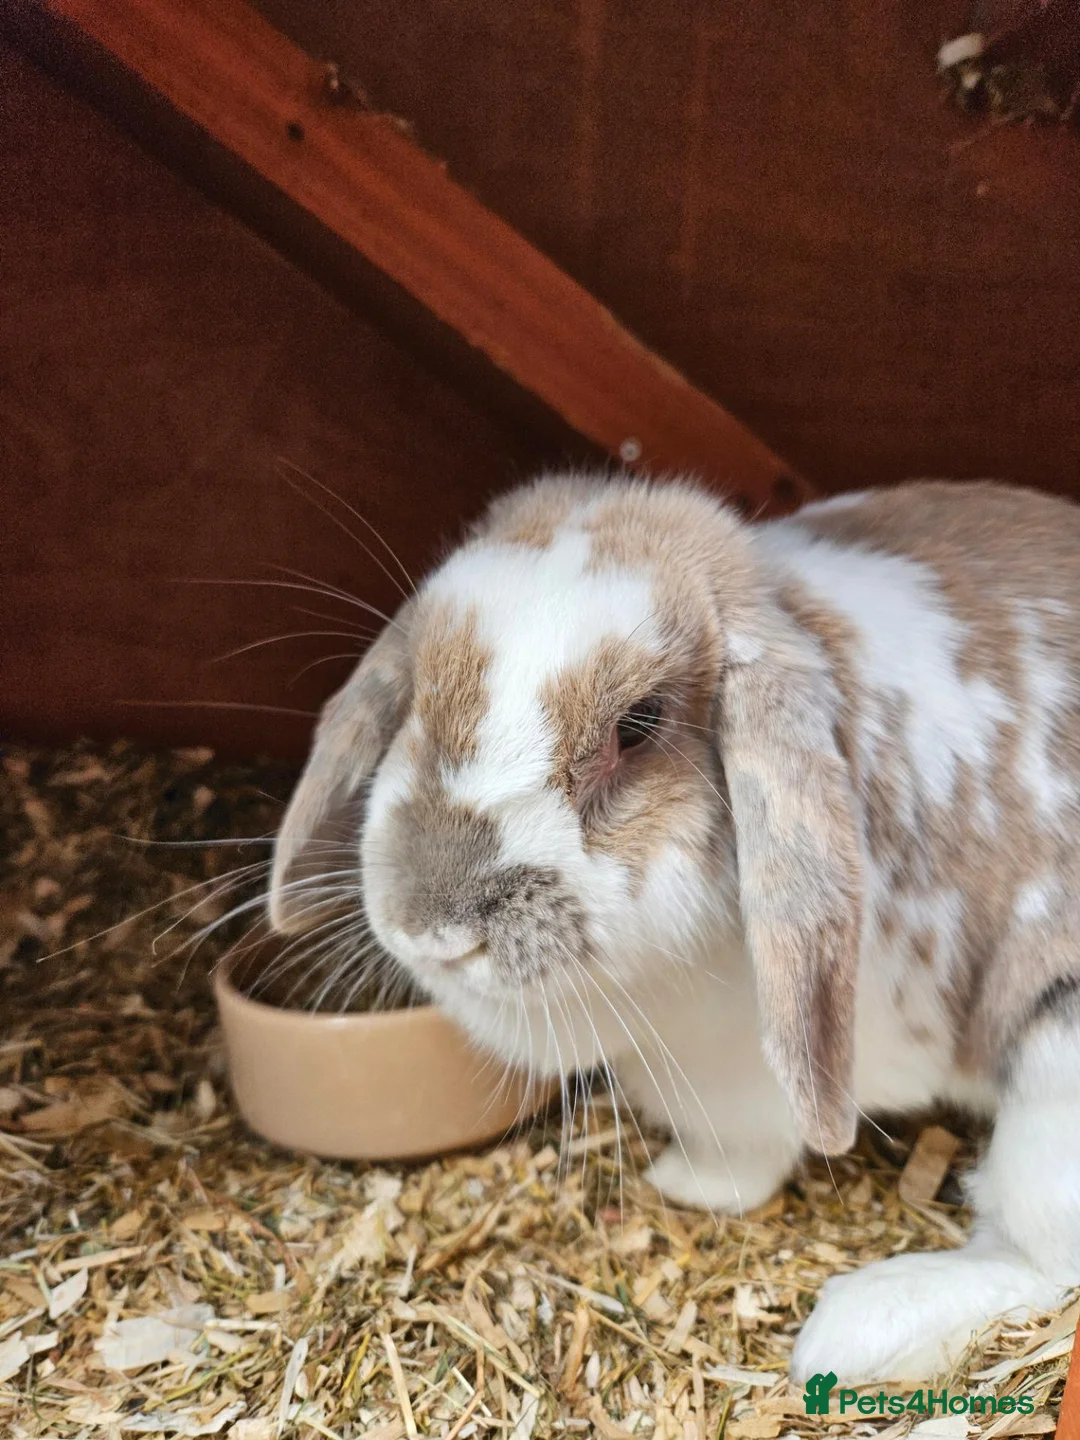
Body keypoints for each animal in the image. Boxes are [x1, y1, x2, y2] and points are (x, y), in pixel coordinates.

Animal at [268, 473, 1080, 1384]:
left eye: (640, 724)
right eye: (415, 691)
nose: (434, 928)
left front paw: (690, 1189)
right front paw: (690, 1183)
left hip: (1055, 1071)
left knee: (1038, 1256)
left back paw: (854, 1328)